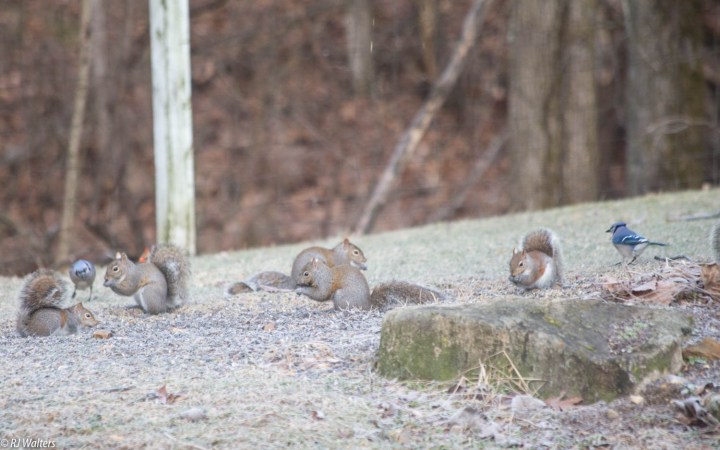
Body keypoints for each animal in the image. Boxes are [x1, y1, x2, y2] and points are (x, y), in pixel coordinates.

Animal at [226, 238, 368, 295]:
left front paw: (363, 267)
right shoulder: (340, 262)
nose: (365, 259)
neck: (341, 254)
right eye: (356, 252)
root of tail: (294, 280)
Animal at [295, 258, 445, 311]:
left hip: (341, 296)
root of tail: (367, 305)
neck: (320, 274)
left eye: (306, 273)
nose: (297, 282)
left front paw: (301, 290)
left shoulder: (325, 283)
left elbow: (320, 294)